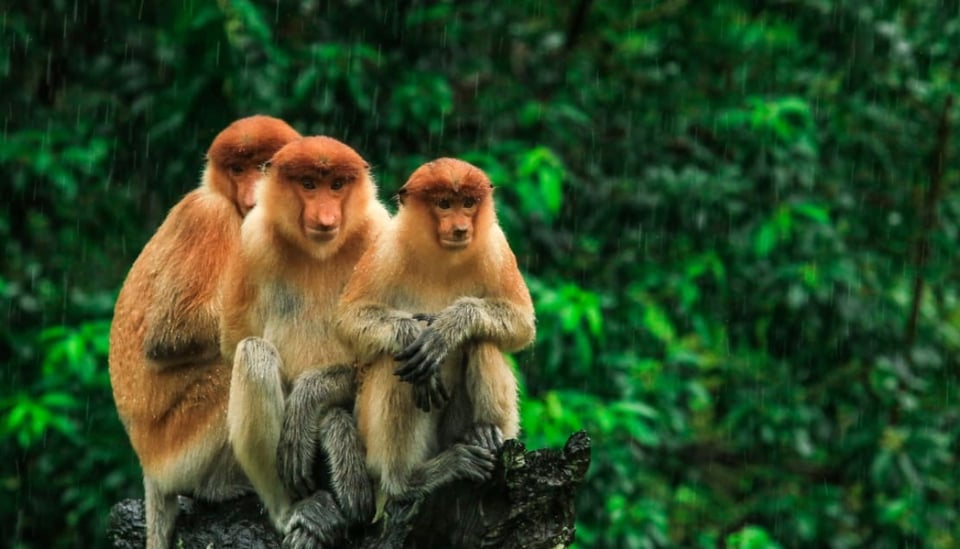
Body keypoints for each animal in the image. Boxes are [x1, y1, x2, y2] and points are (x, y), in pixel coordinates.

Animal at [108, 115, 301, 549]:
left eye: (264, 166)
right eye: (238, 169)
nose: (252, 193)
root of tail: (148, 464)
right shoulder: (208, 216)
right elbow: (169, 334)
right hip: (179, 446)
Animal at [219, 135, 391, 546]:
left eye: (337, 185)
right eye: (309, 184)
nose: (326, 218)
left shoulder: (379, 232)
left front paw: (310, 402)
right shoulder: (251, 239)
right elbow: (234, 341)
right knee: (253, 353)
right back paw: (298, 511)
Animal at [336, 157, 536, 512]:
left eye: (468, 203)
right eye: (444, 204)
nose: (460, 229)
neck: (443, 256)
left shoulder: (496, 246)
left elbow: (522, 322)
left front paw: (446, 330)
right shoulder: (385, 247)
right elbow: (349, 320)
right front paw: (410, 334)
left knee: (482, 341)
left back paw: (484, 435)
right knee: (396, 365)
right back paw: (409, 480)